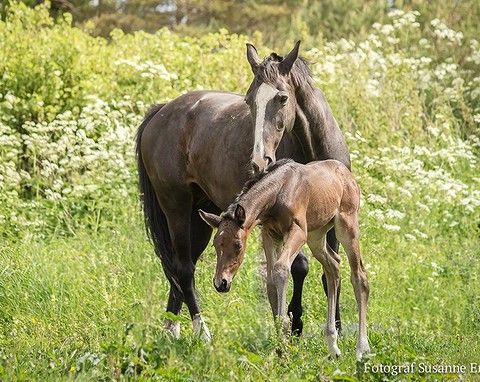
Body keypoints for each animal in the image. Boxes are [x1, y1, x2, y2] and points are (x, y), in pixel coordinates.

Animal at [199, 159, 372, 362]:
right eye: (215, 244)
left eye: (238, 245)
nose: (221, 283)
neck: (279, 191)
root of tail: (346, 172)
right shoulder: (269, 235)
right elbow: (271, 281)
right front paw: (281, 347)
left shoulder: (297, 232)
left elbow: (281, 269)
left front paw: (284, 341)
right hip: (316, 235)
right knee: (333, 266)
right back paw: (333, 346)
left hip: (346, 226)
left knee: (359, 276)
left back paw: (362, 349)